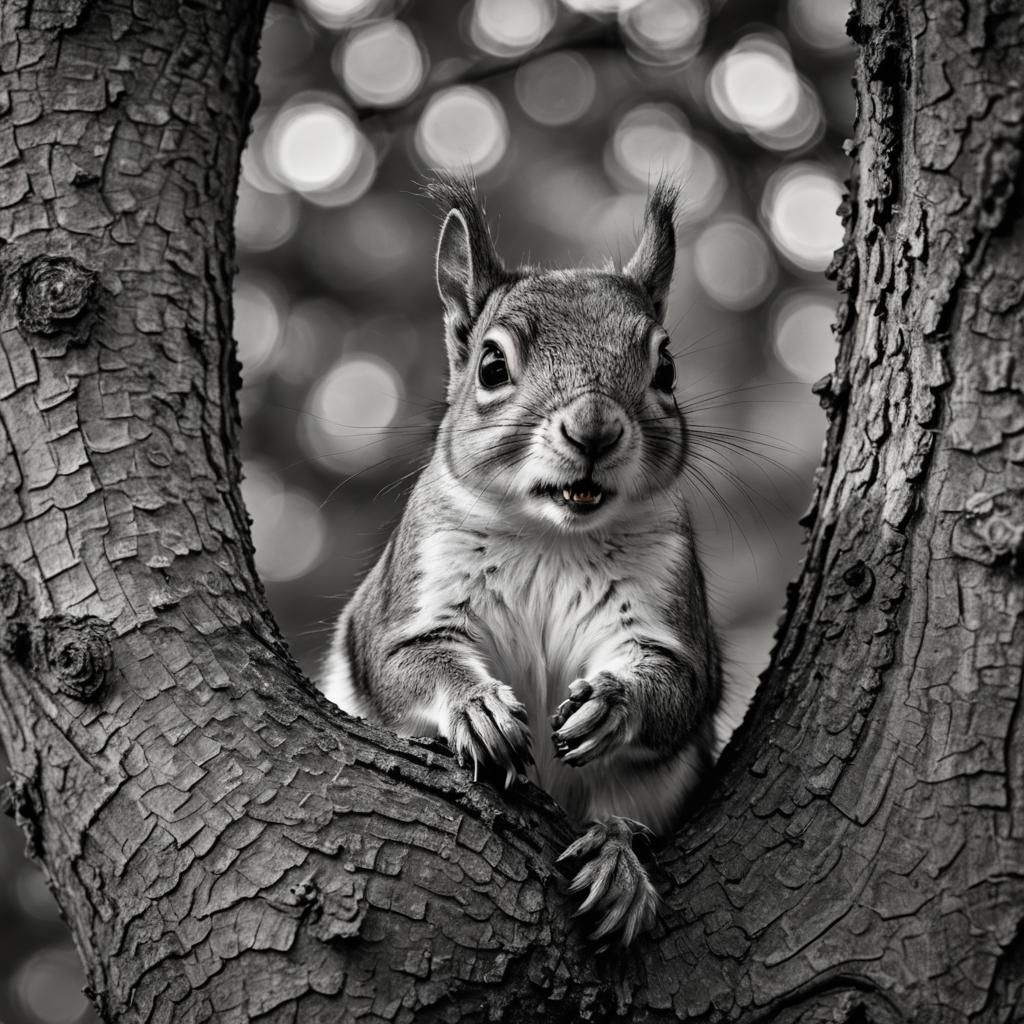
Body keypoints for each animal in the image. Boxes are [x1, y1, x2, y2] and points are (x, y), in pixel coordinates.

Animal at [323, 175, 723, 947]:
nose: (594, 429)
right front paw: (477, 708)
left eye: (665, 367)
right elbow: (404, 660)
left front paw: (612, 703)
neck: (553, 536)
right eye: (491, 365)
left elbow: (679, 683)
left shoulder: (668, 604)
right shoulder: (407, 598)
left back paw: (617, 860)